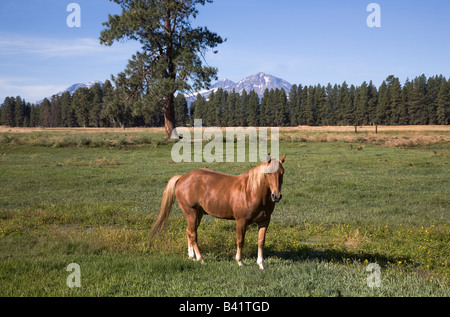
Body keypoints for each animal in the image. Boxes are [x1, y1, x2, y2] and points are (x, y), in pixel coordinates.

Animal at [150, 153, 284, 270]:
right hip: (190, 213)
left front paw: (261, 264)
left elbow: (261, 242)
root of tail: (182, 177)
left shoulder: (264, 221)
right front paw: (240, 262)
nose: (276, 196)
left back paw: (192, 257)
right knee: (193, 234)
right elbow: (240, 240)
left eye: (282, 173)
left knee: (189, 232)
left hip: (198, 214)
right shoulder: (241, 221)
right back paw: (201, 259)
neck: (252, 191)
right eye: (268, 173)